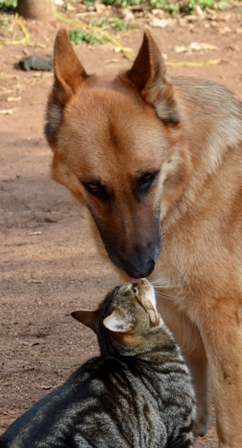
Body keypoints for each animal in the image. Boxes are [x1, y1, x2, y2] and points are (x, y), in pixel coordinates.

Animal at [45, 29, 242, 446]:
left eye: (148, 178)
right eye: (94, 187)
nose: (140, 268)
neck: (191, 185)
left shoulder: (222, 324)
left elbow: (229, 420)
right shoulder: (178, 314)